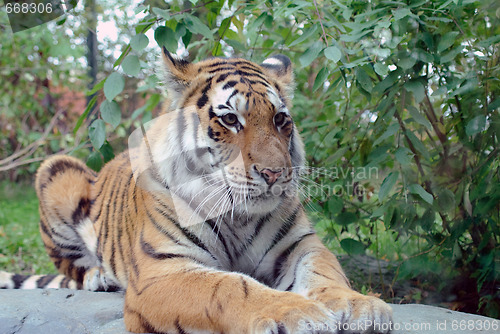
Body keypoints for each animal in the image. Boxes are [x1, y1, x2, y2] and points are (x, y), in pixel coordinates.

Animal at [0, 49, 392, 334]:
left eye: (280, 119)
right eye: (230, 119)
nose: (275, 173)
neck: (238, 215)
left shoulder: (299, 244)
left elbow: (325, 271)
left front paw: (358, 305)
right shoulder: (161, 272)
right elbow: (230, 286)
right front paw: (295, 312)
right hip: (56, 169)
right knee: (72, 267)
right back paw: (99, 277)